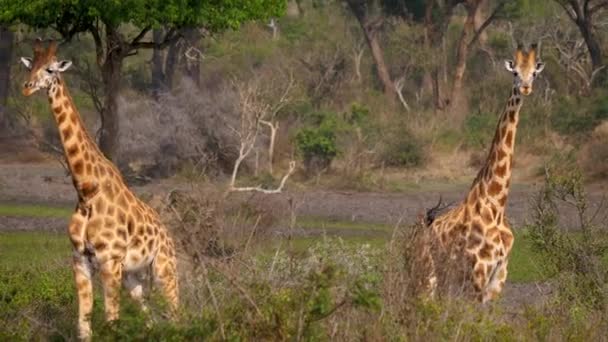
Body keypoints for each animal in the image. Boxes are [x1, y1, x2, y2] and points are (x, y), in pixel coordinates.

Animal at [20, 40, 178, 340]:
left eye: (50, 69)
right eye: (30, 65)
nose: (26, 87)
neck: (86, 190)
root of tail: (169, 234)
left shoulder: (109, 260)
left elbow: (111, 320)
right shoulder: (80, 260)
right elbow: (84, 324)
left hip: (164, 269)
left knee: (177, 311)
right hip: (133, 277)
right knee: (149, 317)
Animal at [422, 43, 548, 302]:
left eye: (534, 73)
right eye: (515, 72)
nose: (525, 88)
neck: (496, 206)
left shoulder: (498, 277)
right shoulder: (478, 272)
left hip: (446, 279)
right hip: (429, 274)